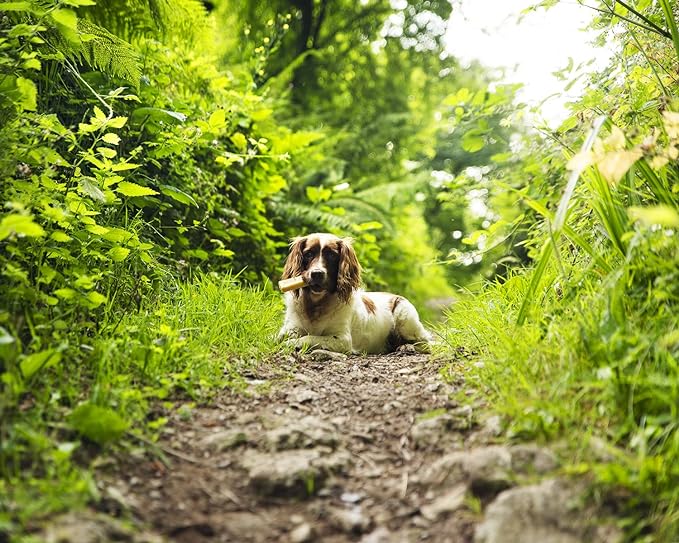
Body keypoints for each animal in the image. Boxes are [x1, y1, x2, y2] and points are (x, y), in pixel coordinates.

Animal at [278, 233, 432, 352]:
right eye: (309, 254)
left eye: (332, 255)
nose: (317, 273)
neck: (316, 304)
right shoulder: (292, 327)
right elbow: (281, 336)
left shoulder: (342, 339)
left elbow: (309, 337)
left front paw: (291, 344)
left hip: (405, 316)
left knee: (426, 343)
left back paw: (407, 347)